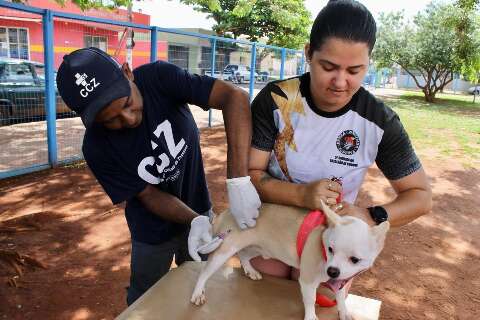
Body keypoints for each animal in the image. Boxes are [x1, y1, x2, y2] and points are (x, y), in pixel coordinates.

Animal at [189, 202, 388, 320]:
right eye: (330, 249)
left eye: (355, 259)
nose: (332, 271)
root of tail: (226, 212)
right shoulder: (307, 281)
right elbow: (310, 300)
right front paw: (311, 316)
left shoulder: (341, 281)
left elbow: (340, 296)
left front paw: (344, 311)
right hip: (223, 250)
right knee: (204, 272)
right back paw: (198, 292)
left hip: (258, 248)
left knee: (244, 255)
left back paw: (250, 271)